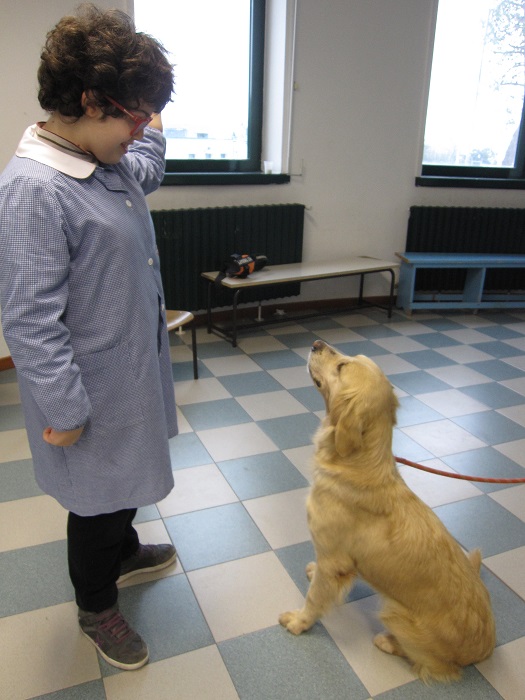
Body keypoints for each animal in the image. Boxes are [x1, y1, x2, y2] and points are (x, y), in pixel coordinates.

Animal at [278, 340, 496, 684]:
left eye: (342, 366)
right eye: (350, 356)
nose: (316, 344)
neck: (357, 462)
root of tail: (485, 648)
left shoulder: (335, 561)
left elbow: (314, 599)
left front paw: (299, 622)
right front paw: (312, 572)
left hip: (394, 613)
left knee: (434, 665)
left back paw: (388, 642)